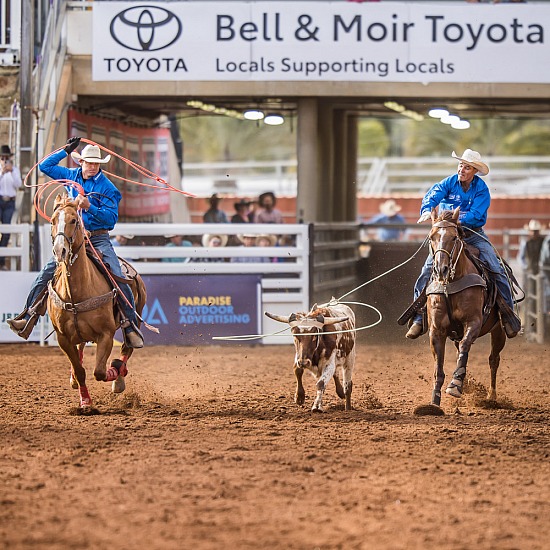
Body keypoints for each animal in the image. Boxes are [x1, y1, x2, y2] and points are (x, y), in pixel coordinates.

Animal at [48, 196, 147, 412]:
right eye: (52, 220)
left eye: (74, 220)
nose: (60, 250)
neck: (77, 292)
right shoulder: (63, 338)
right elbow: (81, 371)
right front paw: (85, 402)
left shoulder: (106, 334)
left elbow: (100, 372)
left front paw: (115, 370)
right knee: (80, 348)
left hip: (135, 317)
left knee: (128, 347)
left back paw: (119, 377)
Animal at [418, 209, 508, 416]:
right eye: (432, 237)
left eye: (454, 237)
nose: (441, 269)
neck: (450, 285)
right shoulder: (437, 330)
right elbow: (438, 367)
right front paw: (434, 401)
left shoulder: (473, 323)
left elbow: (467, 345)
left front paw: (455, 385)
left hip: (499, 331)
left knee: (493, 359)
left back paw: (491, 397)